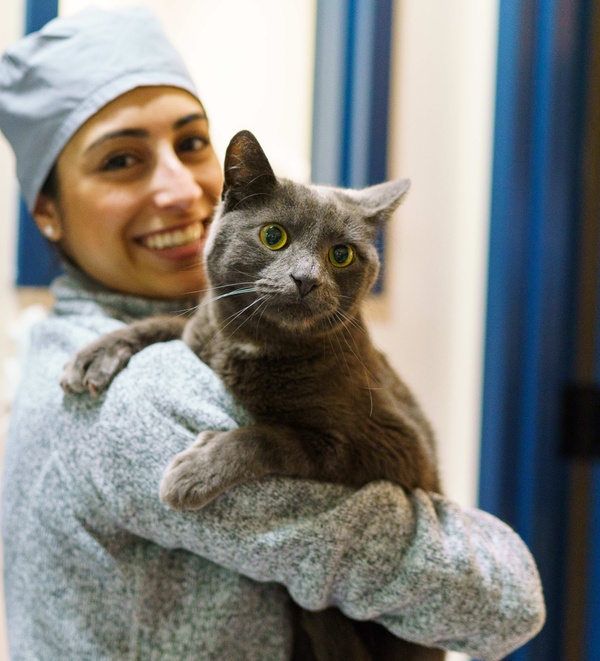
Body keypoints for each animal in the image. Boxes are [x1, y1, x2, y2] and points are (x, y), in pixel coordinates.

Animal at [62, 130, 446, 660]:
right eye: (273, 236)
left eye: (341, 254)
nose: (305, 279)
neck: (254, 346)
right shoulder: (203, 328)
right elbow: (165, 324)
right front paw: (95, 354)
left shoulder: (398, 449)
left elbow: (273, 436)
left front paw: (193, 473)